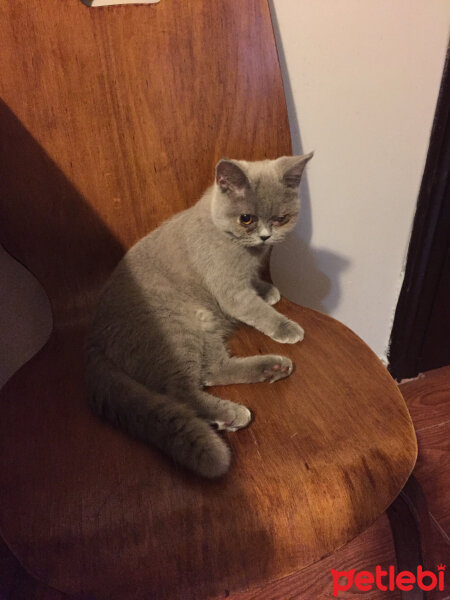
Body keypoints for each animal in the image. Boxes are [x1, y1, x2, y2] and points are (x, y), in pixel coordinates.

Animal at [87, 154, 312, 478]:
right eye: (246, 218)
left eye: (281, 218)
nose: (265, 236)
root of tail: (94, 341)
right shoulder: (230, 289)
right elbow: (255, 309)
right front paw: (286, 326)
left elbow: (256, 290)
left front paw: (267, 290)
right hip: (179, 327)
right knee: (181, 390)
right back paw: (231, 412)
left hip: (206, 326)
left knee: (212, 370)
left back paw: (272, 369)